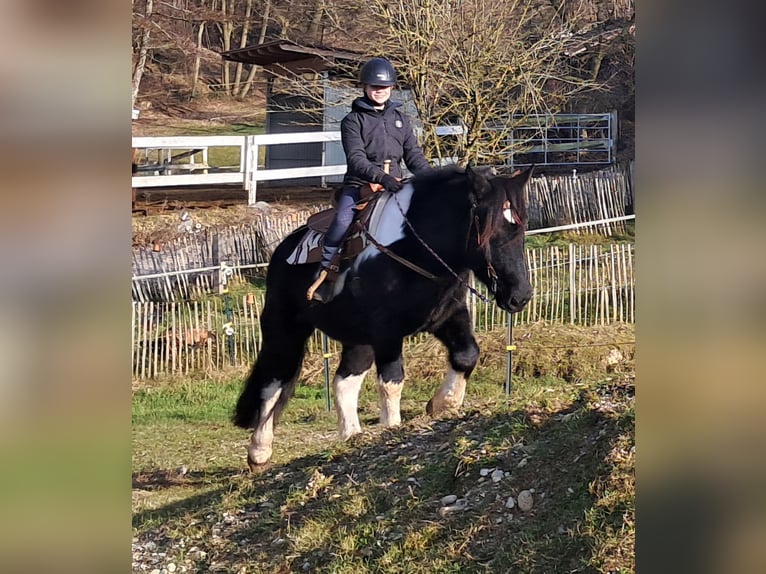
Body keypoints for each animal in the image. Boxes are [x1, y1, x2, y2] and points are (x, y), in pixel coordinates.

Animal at [234, 164, 536, 470]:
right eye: (490, 230)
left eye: (521, 228)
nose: (520, 296)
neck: (415, 250)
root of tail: (284, 249)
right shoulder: (386, 333)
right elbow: (391, 382)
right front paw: (392, 428)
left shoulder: (449, 316)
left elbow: (467, 355)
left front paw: (441, 404)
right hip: (285, 331)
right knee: (273, 384)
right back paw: (259, 452)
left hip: (357, 340)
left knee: (343, 382)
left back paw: (352, 436)